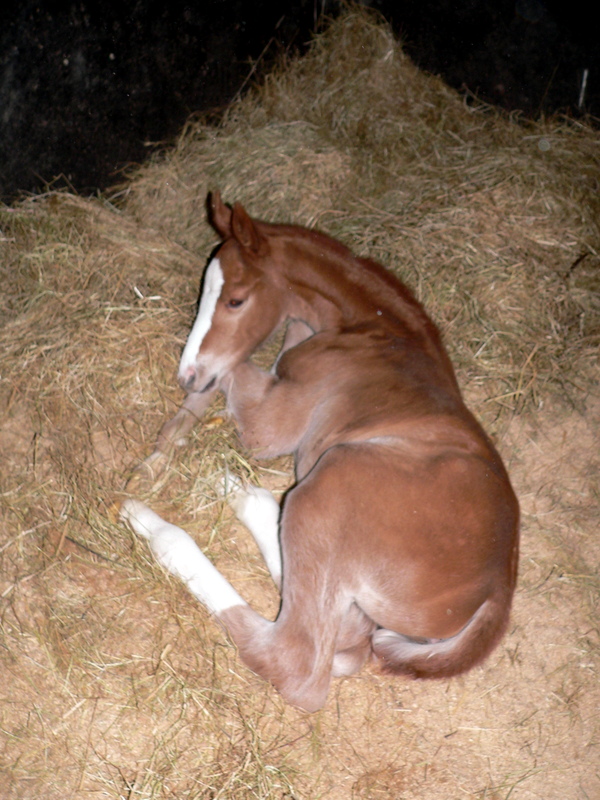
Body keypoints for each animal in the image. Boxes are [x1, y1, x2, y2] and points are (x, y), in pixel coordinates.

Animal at [119, 192, 516, 712]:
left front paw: (166, 447)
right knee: (341, 633)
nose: (185, 375)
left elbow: (234, 373)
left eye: (236, 299)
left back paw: (157, 525)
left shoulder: (272, 424)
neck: (372, 328)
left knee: (298, 658)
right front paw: (165, 446)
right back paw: (238, 492)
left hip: (335, 478)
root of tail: (498, 590)